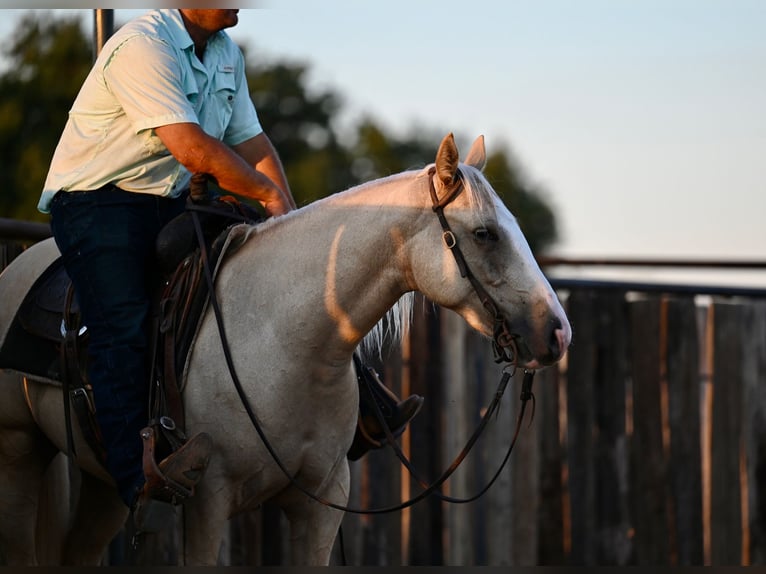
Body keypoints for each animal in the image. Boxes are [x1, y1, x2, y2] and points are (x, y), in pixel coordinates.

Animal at [0, 134, 568, 568]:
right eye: (484, 234)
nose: (558, 333)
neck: (286, 341)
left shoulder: (323, 502)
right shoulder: (208, 502)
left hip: (102, 482)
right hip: (20, 453)